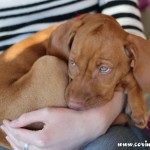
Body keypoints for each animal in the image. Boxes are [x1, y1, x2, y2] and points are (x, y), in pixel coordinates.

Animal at [0, 13, 149, 149]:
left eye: (104, 69)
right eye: (72, 63)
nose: (74, 105)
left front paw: (137, 107)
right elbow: (129, 75)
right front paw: (138, 108)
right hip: (50, 63)